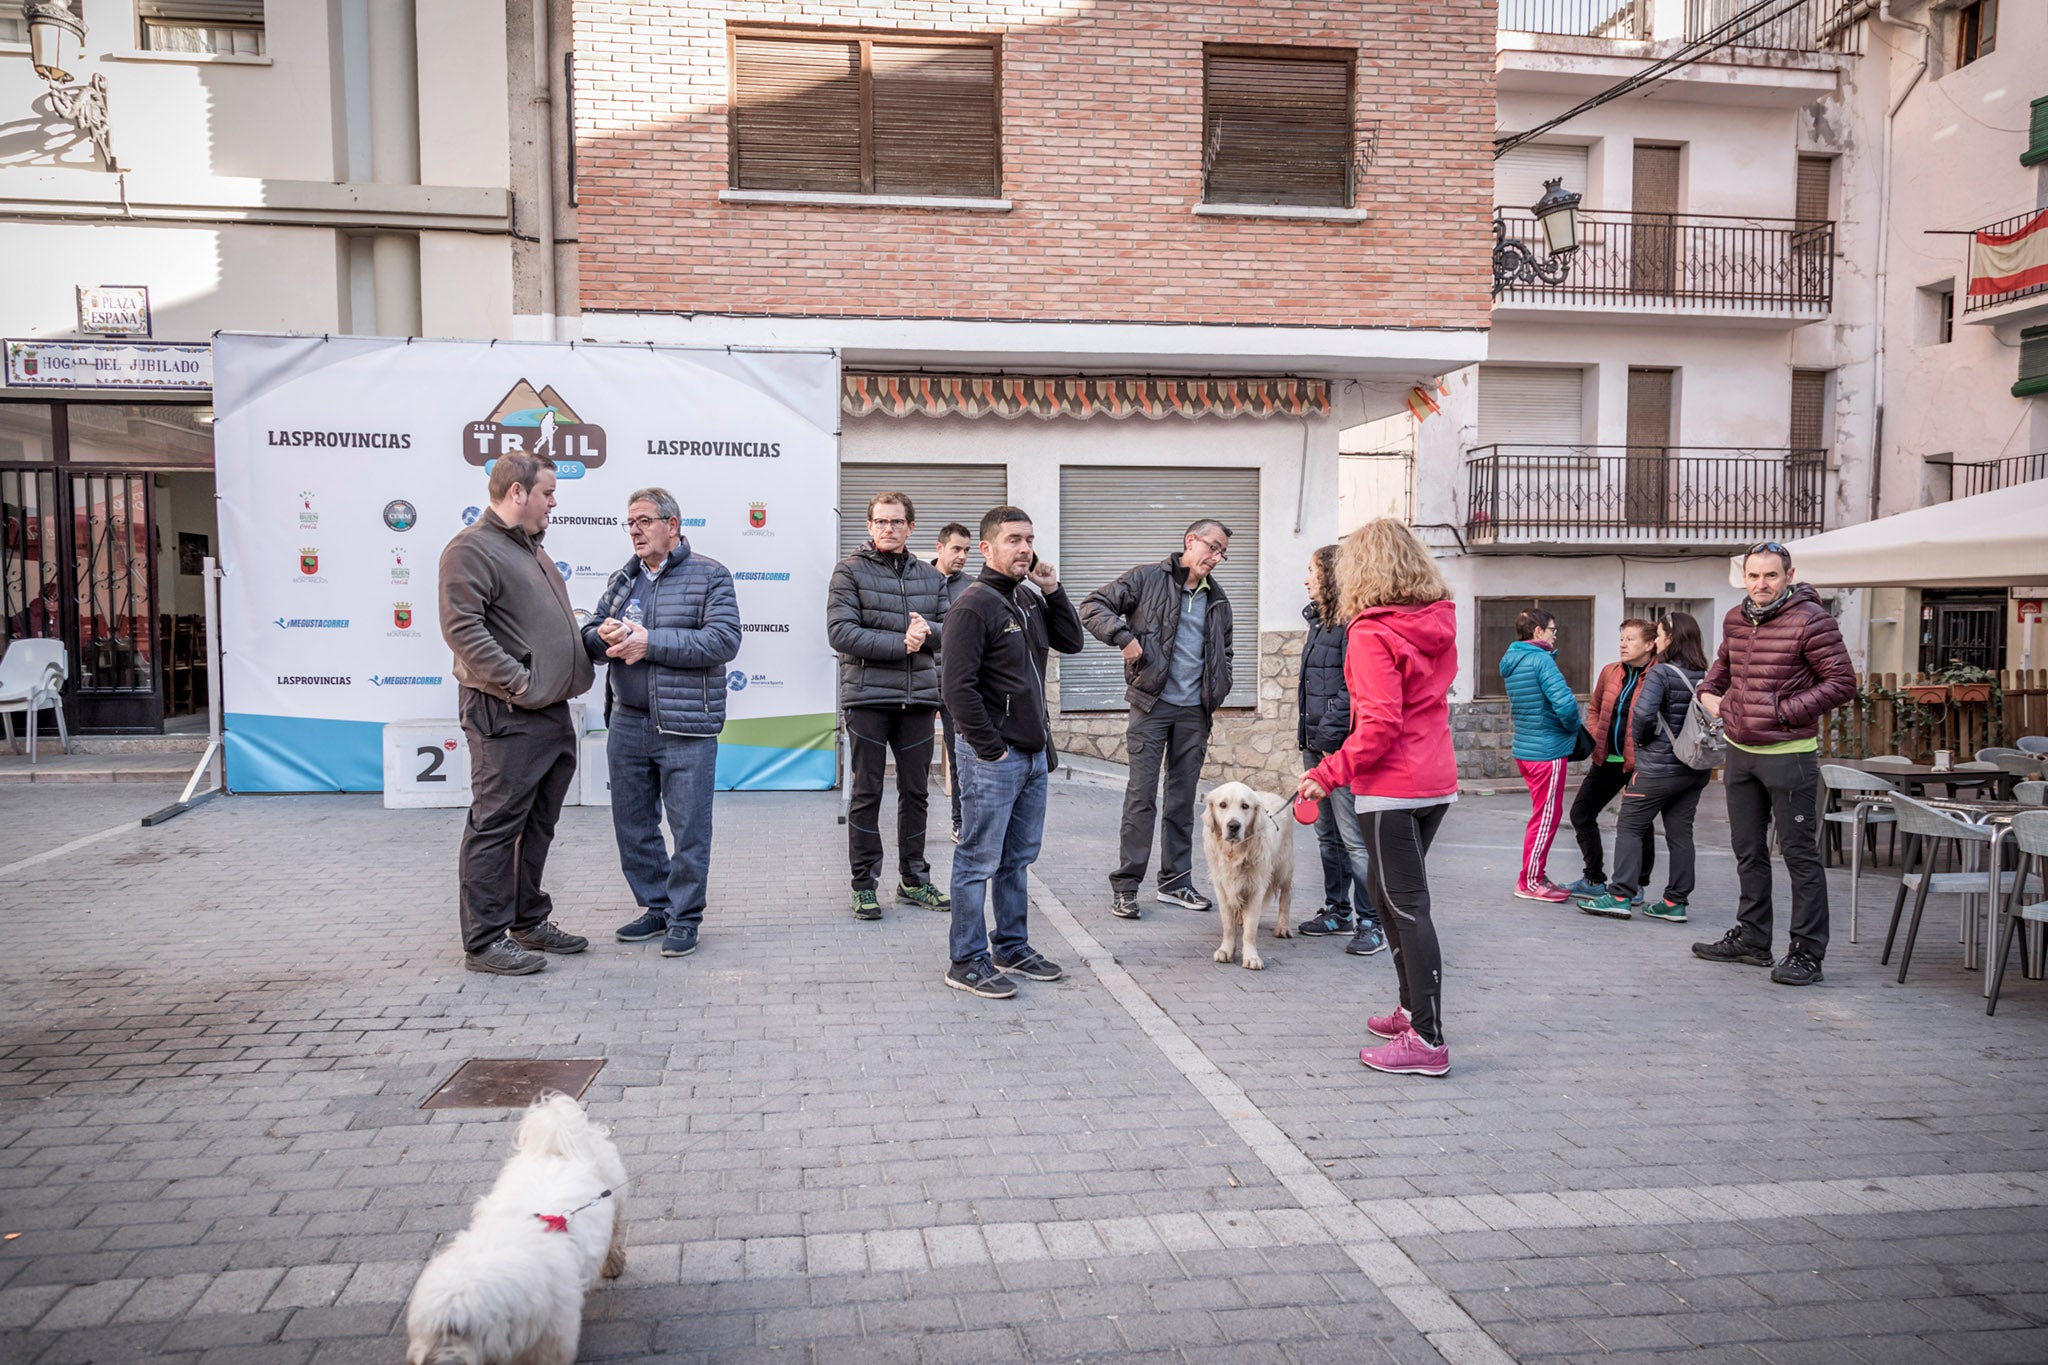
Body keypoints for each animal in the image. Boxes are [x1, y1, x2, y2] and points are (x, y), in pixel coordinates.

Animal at [1196, 777, 1294, 970]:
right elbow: (1228, 925)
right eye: (1223, 804)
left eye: (1245, 806)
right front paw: (1226, 950)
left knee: (1286, 896)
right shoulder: (1222, 886)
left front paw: (1251, 957)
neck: (1235, 853)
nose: (1233, 826)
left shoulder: (1256, 888)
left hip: (1284, 867)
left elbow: (1250, 930)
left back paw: (1283, 927)